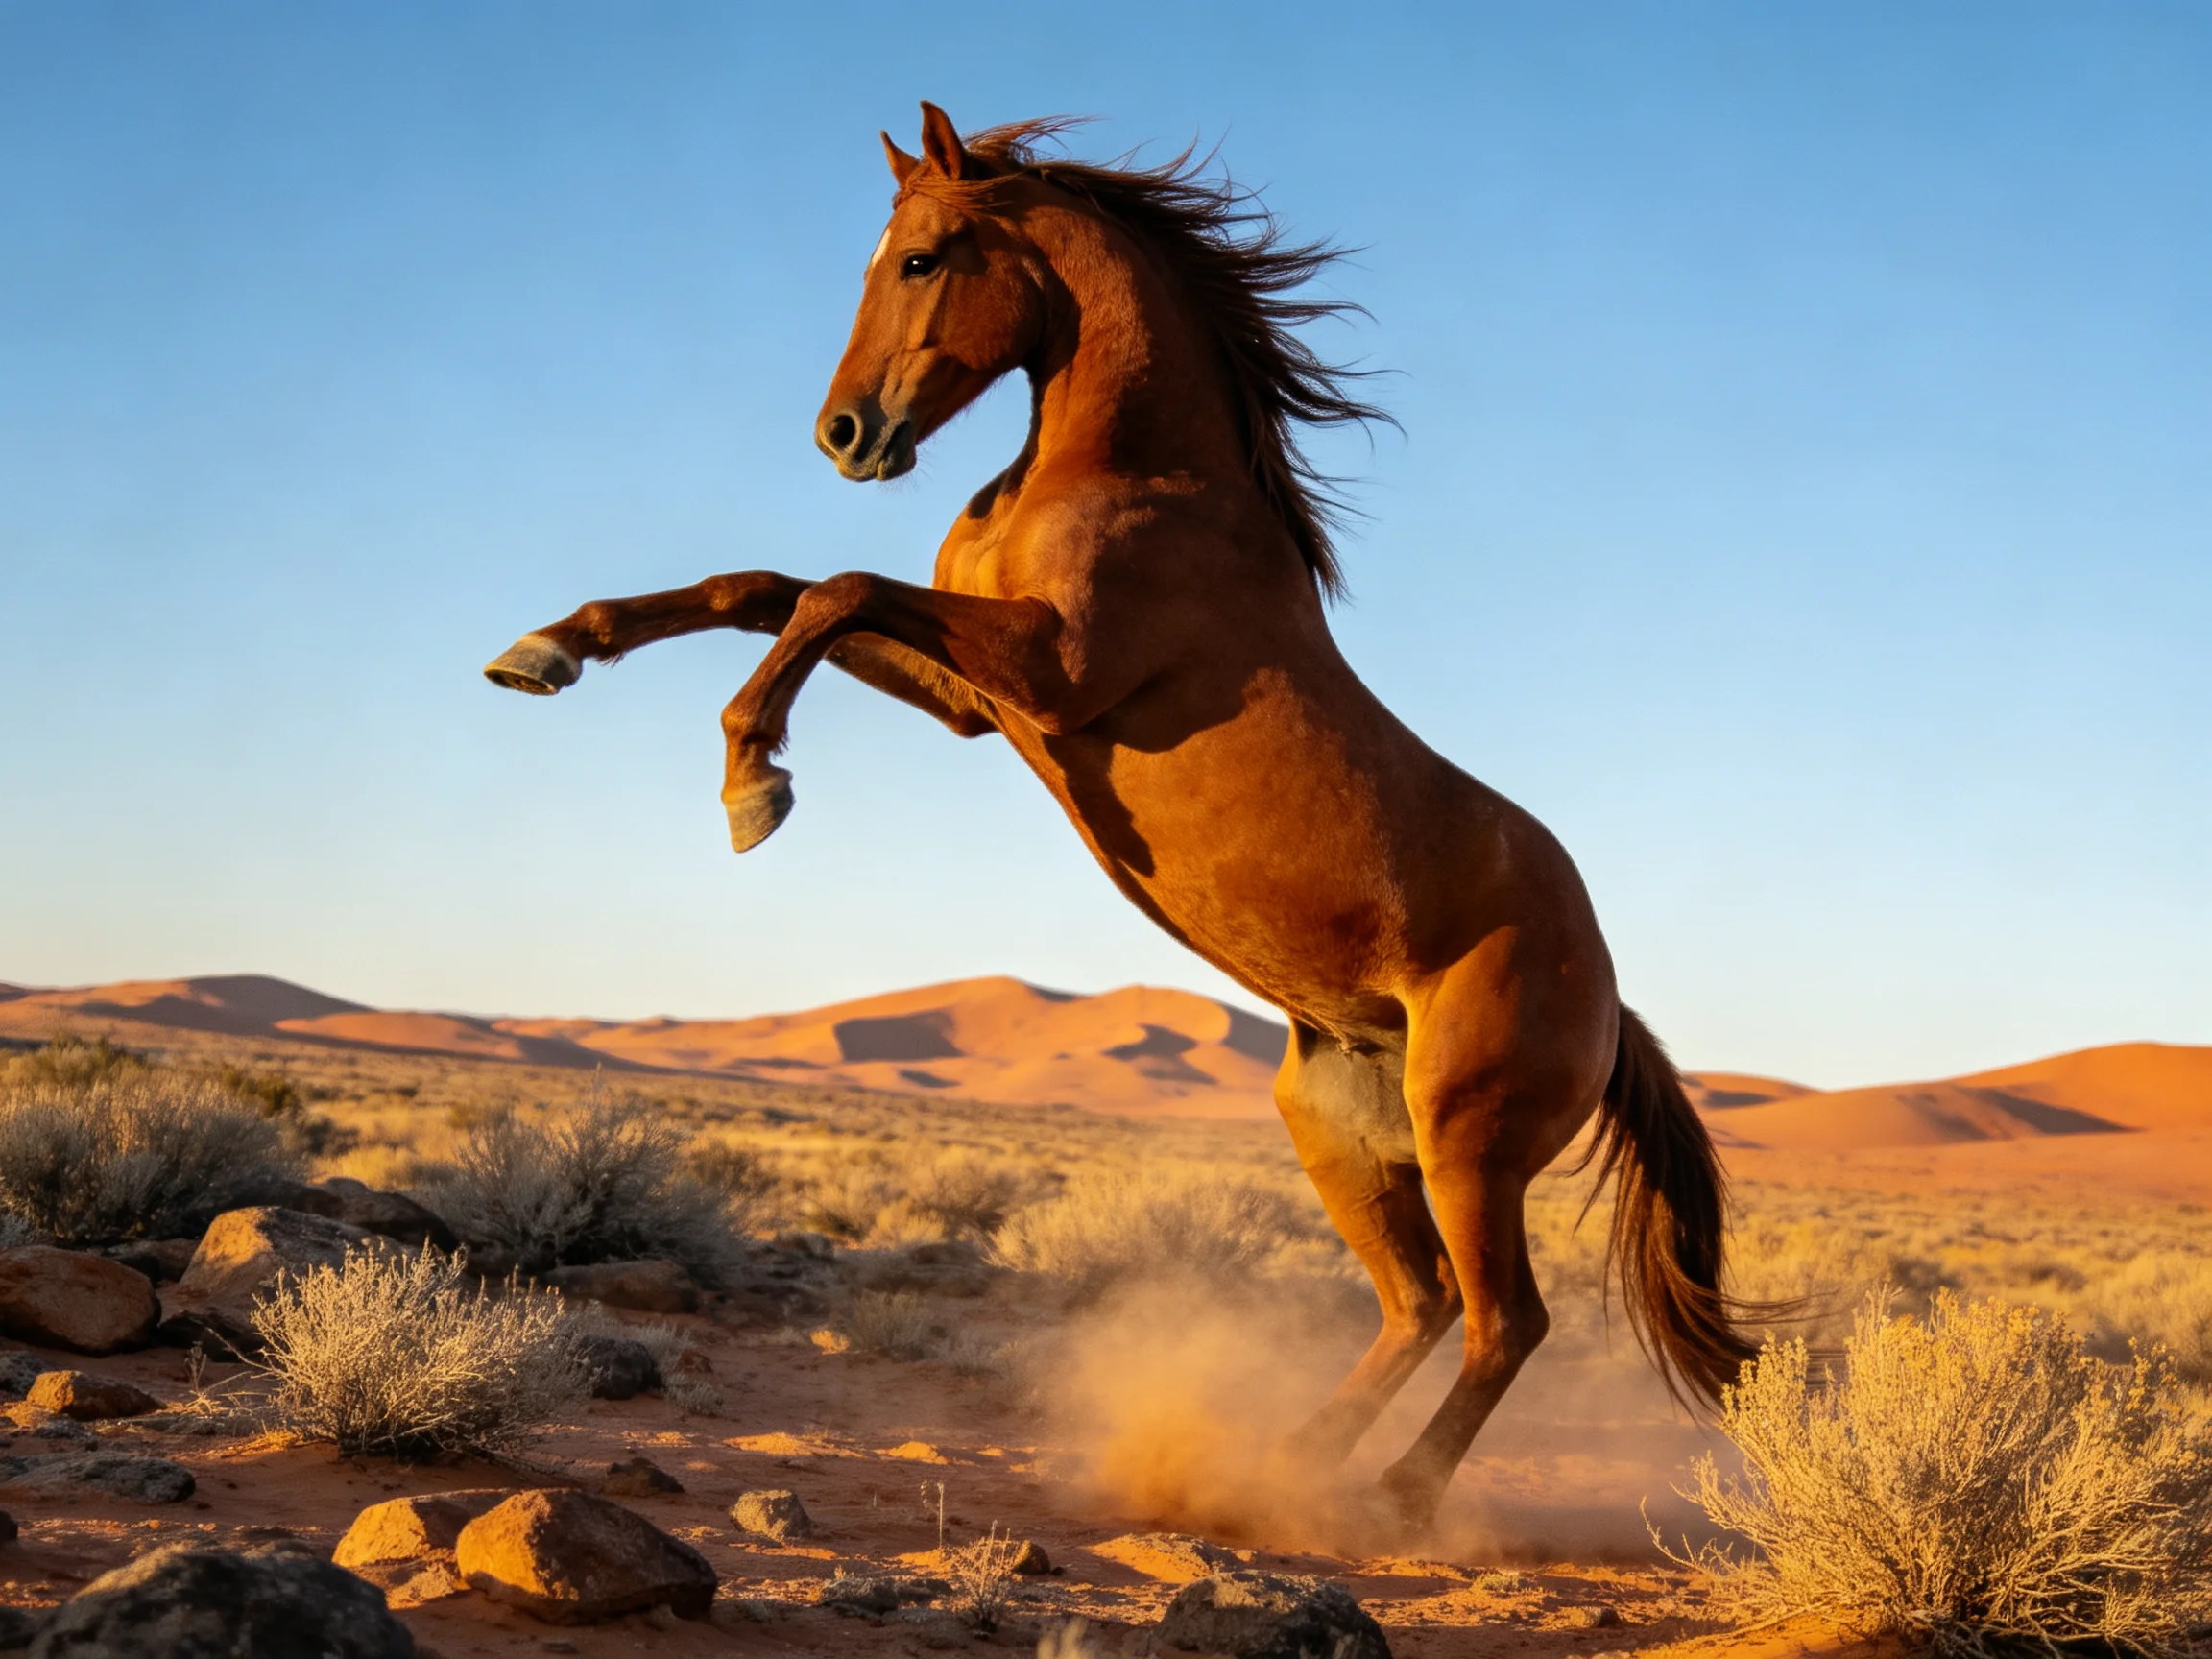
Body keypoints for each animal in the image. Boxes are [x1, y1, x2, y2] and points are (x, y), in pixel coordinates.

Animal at [484, 102, 1754, 1532]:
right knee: (1421, 1307)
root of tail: (1611, 1000)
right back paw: (1283, 1466)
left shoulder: (1050, 673)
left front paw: (753, 778)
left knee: (1505, 1323)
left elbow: (835, 587)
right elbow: (766, 584)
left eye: (919, 259)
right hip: (1342, 1135)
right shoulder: (978, 698)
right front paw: (550, 649)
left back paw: (1391, 1499)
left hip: (1469, 1142)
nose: (846, 434)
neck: (1133, 474)